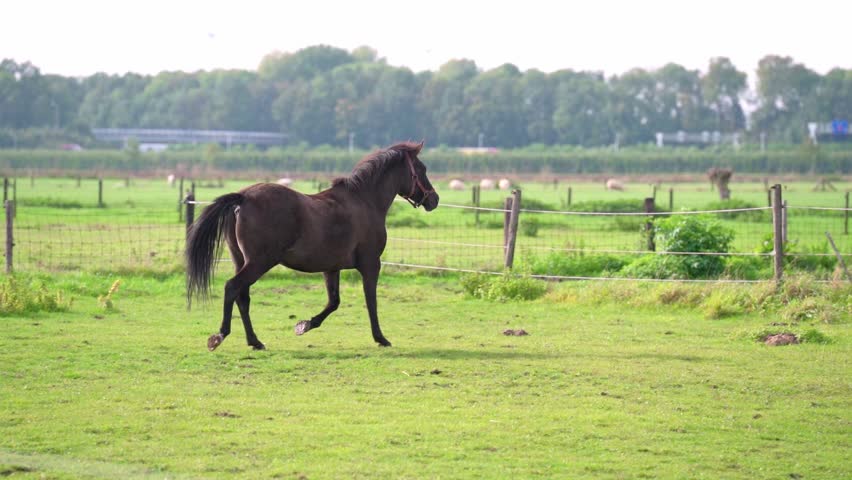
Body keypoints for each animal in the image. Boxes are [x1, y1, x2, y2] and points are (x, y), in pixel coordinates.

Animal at [185, 141, 439, 351]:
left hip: (242, 260)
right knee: (232, 287)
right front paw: (381, 338)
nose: (434, 200)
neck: (364, 201)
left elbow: (334, 302)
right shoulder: (370, 264)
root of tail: (243, 197)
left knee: (242, 296)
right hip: (259, 262)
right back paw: (219, 336)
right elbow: (371, 301)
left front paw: (304, 325)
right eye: (422, 169)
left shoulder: (331, 268)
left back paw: (255, 341)